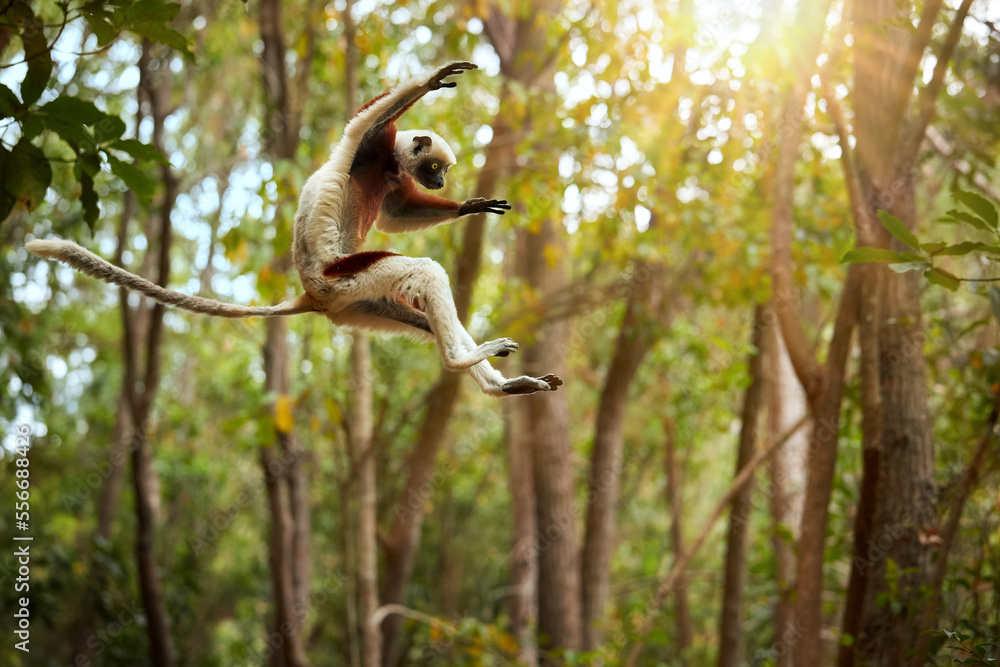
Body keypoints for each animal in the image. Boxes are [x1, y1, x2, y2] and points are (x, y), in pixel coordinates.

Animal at [26, 61, 562, 397]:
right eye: (435, 169)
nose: (442, 181)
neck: (390, 164)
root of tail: (312, 293)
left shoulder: (390, 177)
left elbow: (394, 215)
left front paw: (470, 206)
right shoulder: (373, 144)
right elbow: (369, 119)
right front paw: (432, 79)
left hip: (358, 302)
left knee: (421, 315)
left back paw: (503, 385)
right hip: (350, 276)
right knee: (426, 273)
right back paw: (460, 362)